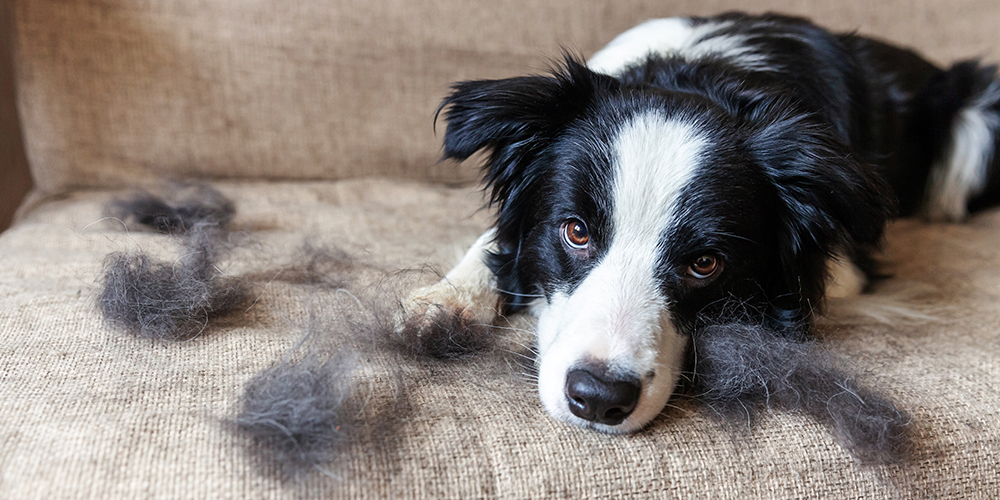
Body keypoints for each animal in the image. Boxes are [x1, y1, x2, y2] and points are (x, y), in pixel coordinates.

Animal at [400, 11, 1000, 434]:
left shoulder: (846, 264)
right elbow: (495, 242)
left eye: (705, 264)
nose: (598, 399)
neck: (700, 79)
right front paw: (446, 300)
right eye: (576, 231)